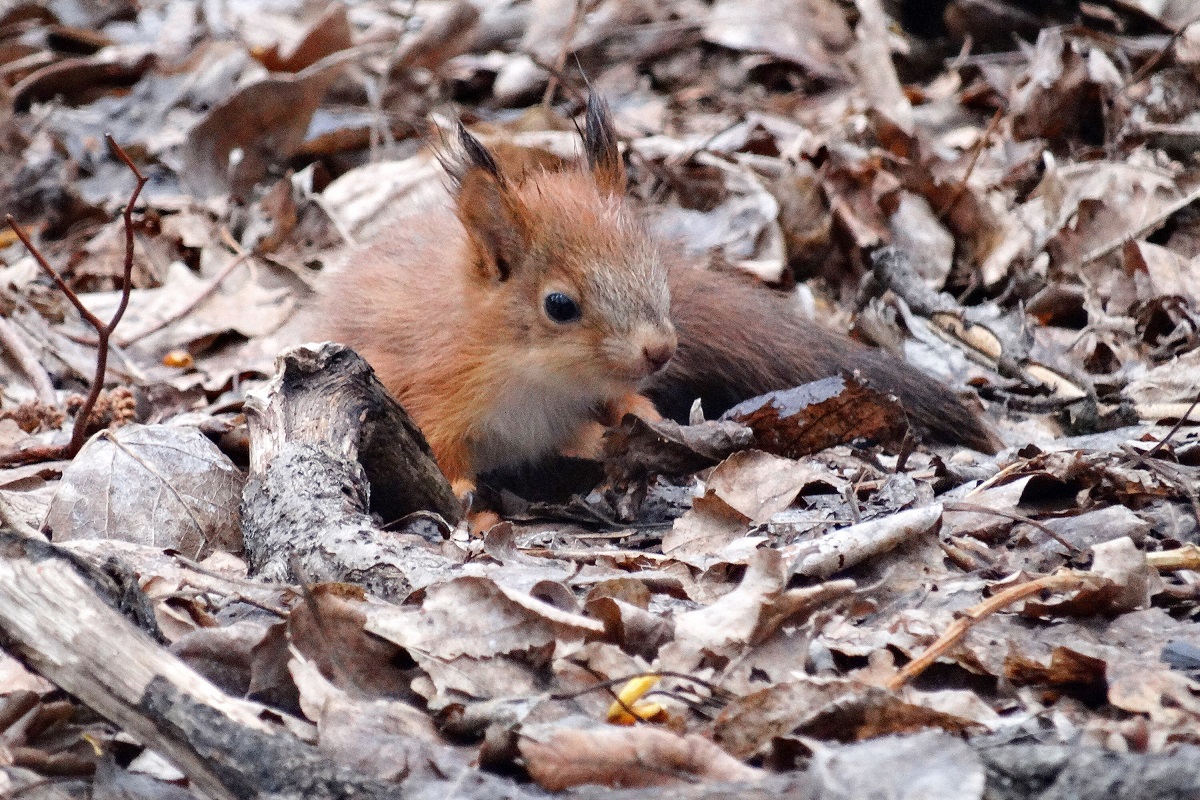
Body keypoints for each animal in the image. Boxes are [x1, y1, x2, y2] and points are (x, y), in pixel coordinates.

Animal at [314, 95, 998, 494]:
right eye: (558, 306)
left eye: (654, 266)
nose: (659, 351)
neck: (530, 375)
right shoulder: (424, 386)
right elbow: (446, 458)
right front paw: (468, 510)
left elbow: (619, 404)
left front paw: (645, 414)